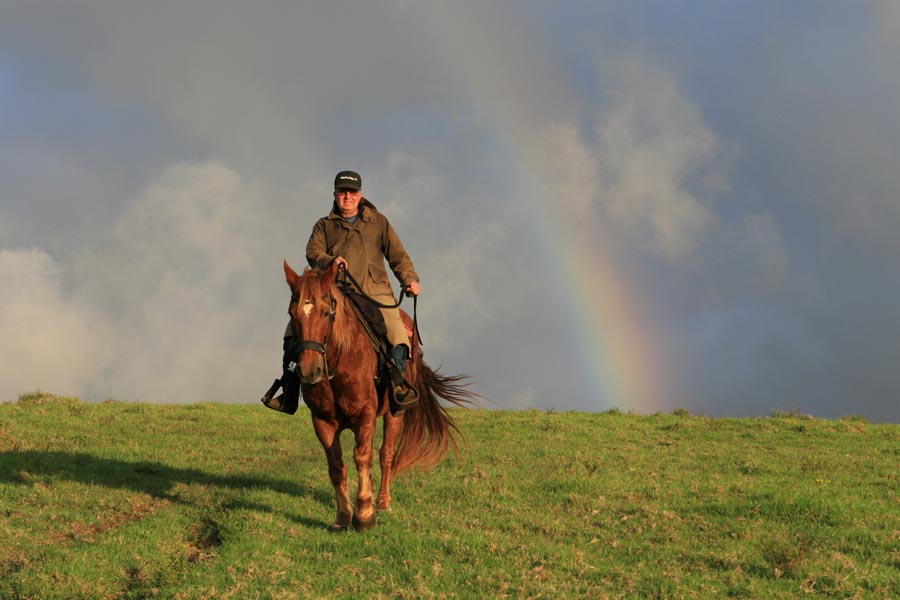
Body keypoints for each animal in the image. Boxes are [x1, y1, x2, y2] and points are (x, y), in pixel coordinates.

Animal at [284, 258, 478, 528]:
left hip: (395, 413)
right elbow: (336, 466)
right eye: (292, 314)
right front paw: (342, 516)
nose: (309, 370)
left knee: (386, 453)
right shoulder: (322, 421)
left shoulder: (365, 414)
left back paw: (383, 501)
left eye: (325, 312)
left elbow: (362, 456)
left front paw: (365, 513)